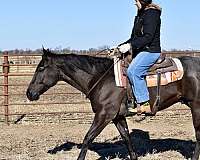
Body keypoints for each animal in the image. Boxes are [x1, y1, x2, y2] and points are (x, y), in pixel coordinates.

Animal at [26, 48, 200, 159]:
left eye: (41, 68)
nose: (29, 93)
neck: (100, 78)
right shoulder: (117, 117)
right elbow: (126, 138)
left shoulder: (104, 115)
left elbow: (88, 138)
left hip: (196, 107)